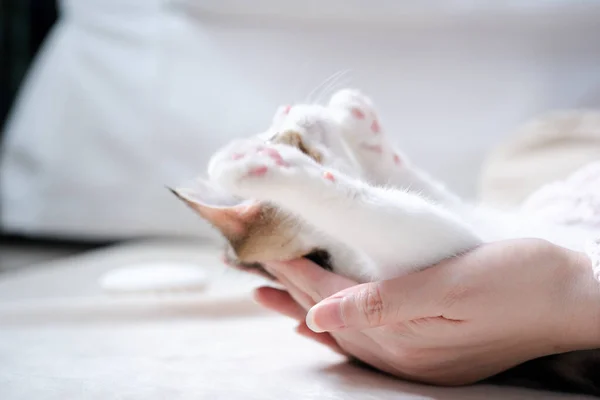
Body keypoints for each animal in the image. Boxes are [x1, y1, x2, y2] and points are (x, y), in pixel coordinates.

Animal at [171, 90, 596, 394]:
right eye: (281, 140)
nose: (287, 107)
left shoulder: (457, 212)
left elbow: (414, 184)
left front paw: (362, 124)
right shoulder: (438, 243)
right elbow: (368, 203)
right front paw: (260, 164)